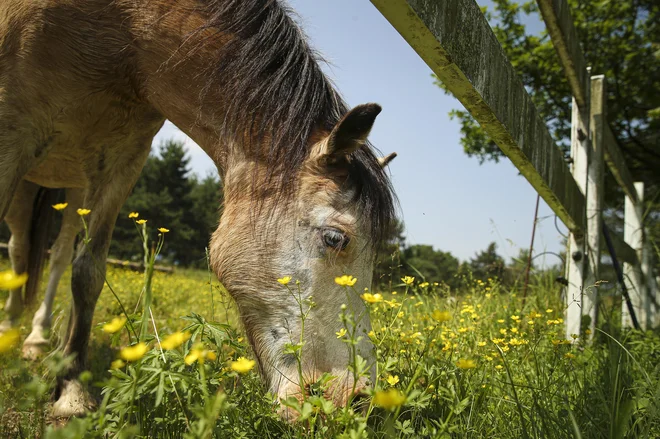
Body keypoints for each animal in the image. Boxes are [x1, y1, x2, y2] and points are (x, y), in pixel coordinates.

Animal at [0, 0, 398, 420]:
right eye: (336, 237)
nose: (354, 399)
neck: (124, 30)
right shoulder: (12, 132)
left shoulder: (124, 162)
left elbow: (87, 273)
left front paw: (72, 387)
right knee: (19, 250)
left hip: (74, 188)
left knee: (57, 256)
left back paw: (37, 340)